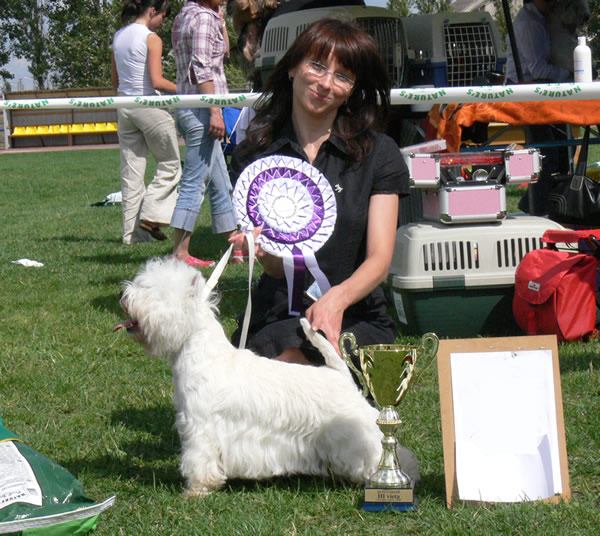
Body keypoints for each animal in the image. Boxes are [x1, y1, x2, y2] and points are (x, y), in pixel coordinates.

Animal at [115, 258, 420, 496]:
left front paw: (197, 489)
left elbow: (199, 459)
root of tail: (340, 375)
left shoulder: (200, 427)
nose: (122, 294)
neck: (198, 349)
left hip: (352, 431)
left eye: (149, 290)